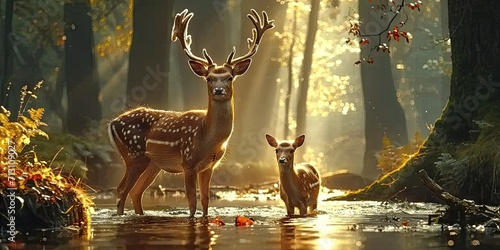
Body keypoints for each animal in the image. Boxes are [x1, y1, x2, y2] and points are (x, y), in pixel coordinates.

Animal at [107, 9, 276, 217]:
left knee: (136, 192)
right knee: (122, 189)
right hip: (133, 154)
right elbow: (192, 202)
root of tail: (112, 123)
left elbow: (205, 201)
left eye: (229, 77)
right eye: (209, 78)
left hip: (152, 163)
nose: (218, 90)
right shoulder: (188, 162)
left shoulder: (209, 166)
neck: (207, 139)